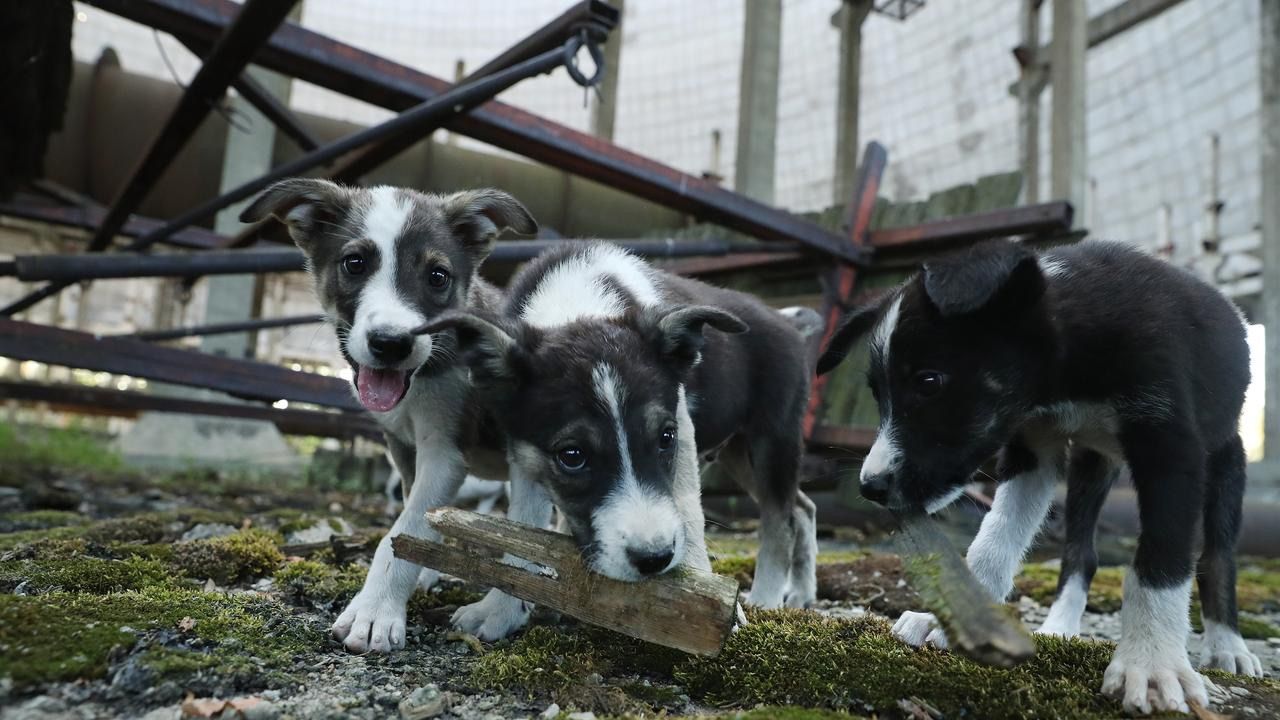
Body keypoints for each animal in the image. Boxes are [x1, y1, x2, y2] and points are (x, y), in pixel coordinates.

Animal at [240, 178, 535, 650]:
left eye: (438, 276)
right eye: (354, 264)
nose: (391, 343)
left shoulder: (444, 453)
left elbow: (401, 532)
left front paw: (375, 611)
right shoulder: (403, 449)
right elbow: (417, 522)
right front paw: (424, 572)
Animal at [819, 238, 1259, 707]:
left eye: (929, 381)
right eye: (877, 393)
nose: (871, 487)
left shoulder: (1172, 449)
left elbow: (1162, 559)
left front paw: (1153, 665)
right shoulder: (1032, 448)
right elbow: (994, 540)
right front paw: (961, 619)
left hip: (1225, 458)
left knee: (1217, 556)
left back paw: (1227, 645)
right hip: (1091, 462)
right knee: (1081, 553)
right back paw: (1060, 628)